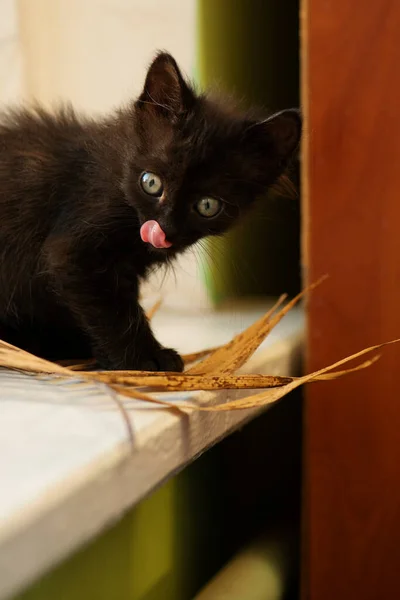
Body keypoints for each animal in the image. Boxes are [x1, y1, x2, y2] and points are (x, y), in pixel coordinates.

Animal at [0, 51, 300, 370]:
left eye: (207, 206)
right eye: (151, 183)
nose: (165, 226)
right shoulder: (76, 247)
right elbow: (114, 311)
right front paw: (144, 358)